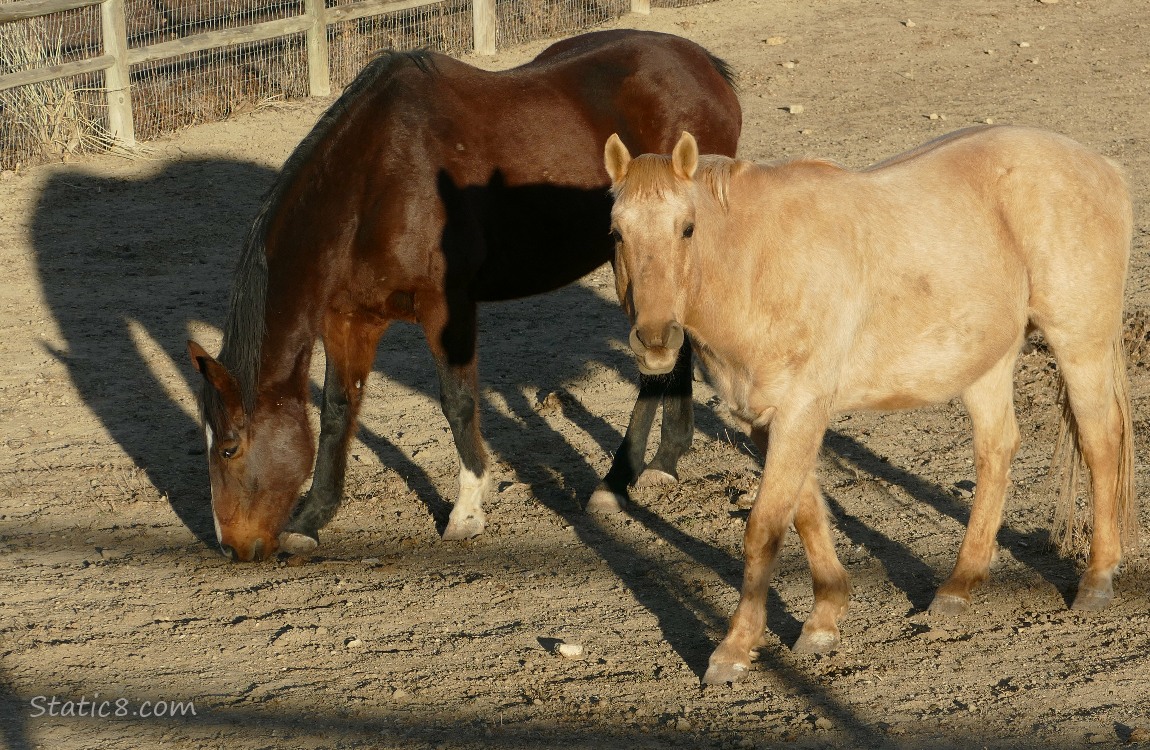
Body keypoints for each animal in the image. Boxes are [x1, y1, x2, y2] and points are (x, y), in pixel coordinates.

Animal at [185, 30, 742, 562]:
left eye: (229, 448)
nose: (231, 547)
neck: (376, 181)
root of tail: (706, 67)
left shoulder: (445, 308)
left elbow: (458, 401)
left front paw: (468, 510)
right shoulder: (349, 319)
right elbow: (337, 413)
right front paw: (311, 520)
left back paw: (617, 481)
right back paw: (666, 460)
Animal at [604, 126, 1136, 685]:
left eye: (687, 228)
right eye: (616, 233)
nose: (656, 341)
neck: (761, 262)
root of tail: (1102, 167)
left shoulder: (801, 409)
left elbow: (765, 528)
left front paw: (733, 650)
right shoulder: (767, 418)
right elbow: (805, 512)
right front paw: (824, 619)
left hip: (1079, 344)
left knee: (1101, 444)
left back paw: (1096, 581)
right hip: (986, 360)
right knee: (996, 452)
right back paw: (958, 587)